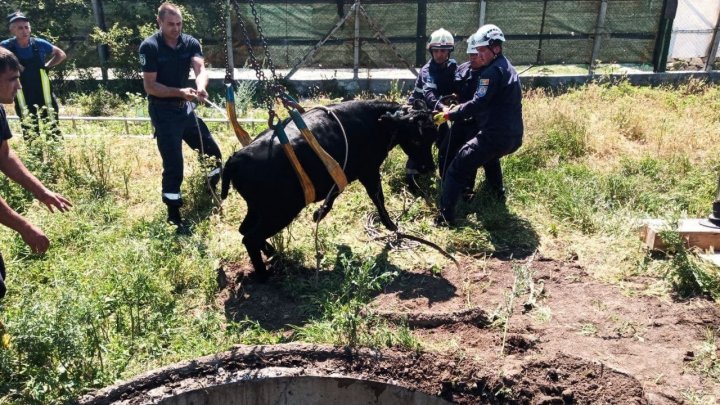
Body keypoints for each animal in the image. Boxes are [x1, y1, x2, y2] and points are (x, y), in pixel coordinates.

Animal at [219, 99, 436, 276]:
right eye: (416, 139)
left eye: (431, 138)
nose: (429, 167)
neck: (375, 122)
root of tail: (235, 159)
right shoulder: (369, 171)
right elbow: (377, 197)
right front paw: (391, 225)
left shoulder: (343, 172)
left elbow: (336, 192)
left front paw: (319, 213)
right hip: (279, 212)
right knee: (250, 237)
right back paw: (264, 275)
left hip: (259, 210)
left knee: (244, 230)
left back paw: (272, 252)